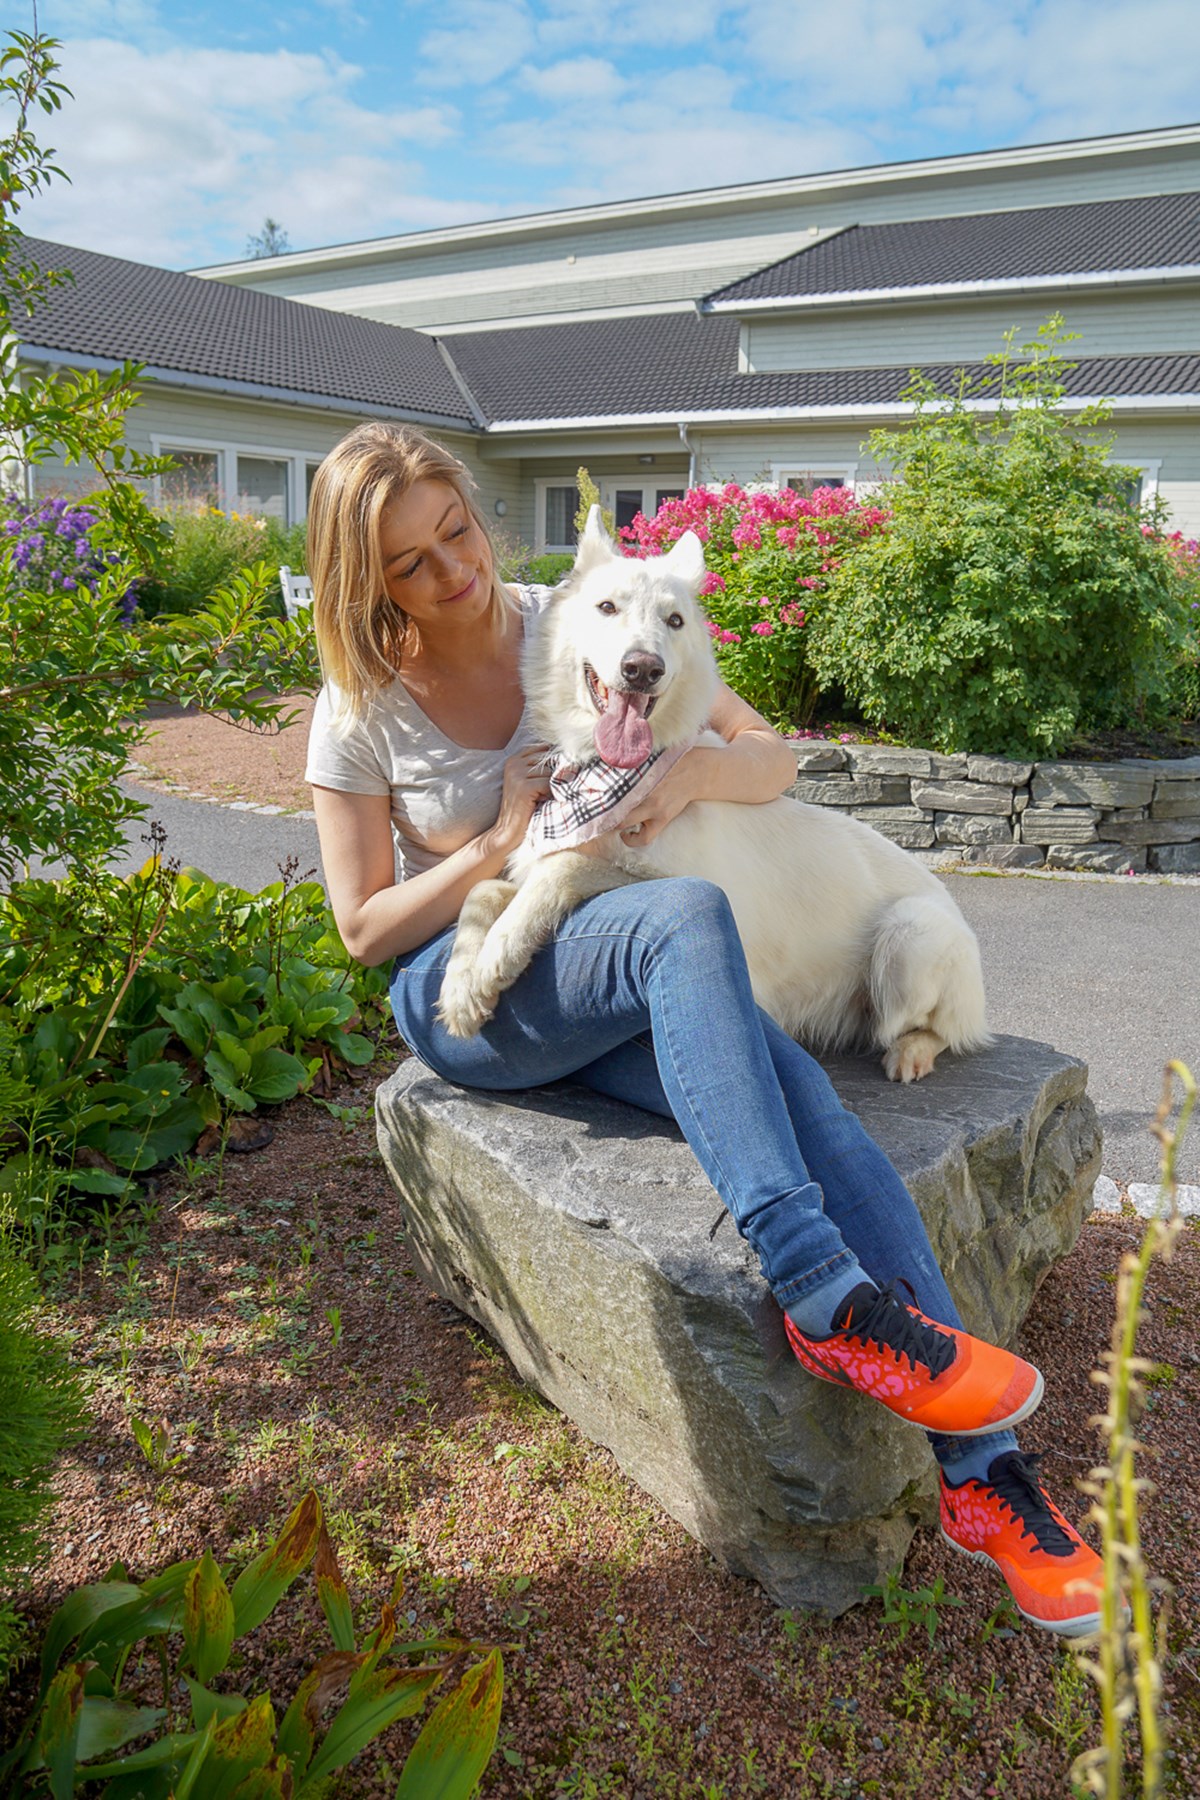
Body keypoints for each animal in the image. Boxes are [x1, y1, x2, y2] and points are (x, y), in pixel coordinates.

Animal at [437, 504, 993, 1080]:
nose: (643, 669)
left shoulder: (697, 890)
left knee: (937, 1031)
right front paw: (461, 985)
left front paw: (495, 957)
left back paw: (912, 1050)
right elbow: (485, 891)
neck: (606, 776)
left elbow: (564, 867)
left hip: (909, 936)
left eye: (674, 621)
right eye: (607, 607)